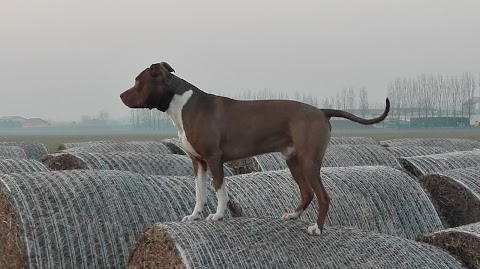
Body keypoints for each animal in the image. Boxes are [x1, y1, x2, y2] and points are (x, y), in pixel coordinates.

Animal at [120, 61, 390, 233]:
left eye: (137, 81)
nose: (121, 95)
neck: (182, 104)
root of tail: (321, 111)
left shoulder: (214, 158)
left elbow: (219, 191)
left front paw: (218, 216)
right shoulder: (198, 162)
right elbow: (199, 193)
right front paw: (194, 216)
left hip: (309, 161)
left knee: (323, 196)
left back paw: (316, 228)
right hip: (294, 161)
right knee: (307, 193)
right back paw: (293, 216)